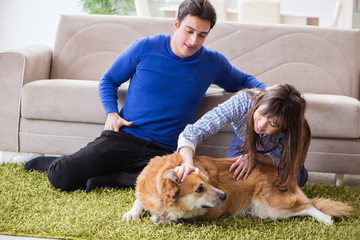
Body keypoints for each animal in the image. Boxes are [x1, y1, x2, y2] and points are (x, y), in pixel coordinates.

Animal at [122, 153, 352, 226]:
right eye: (199, 189)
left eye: (209, 182)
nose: (225, 195)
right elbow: (138, 199)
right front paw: (133, 212)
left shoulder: (210, 212)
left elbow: (178, 215)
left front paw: (162, 217)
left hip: (269, 208)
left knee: (308, 206)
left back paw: (325, 218)